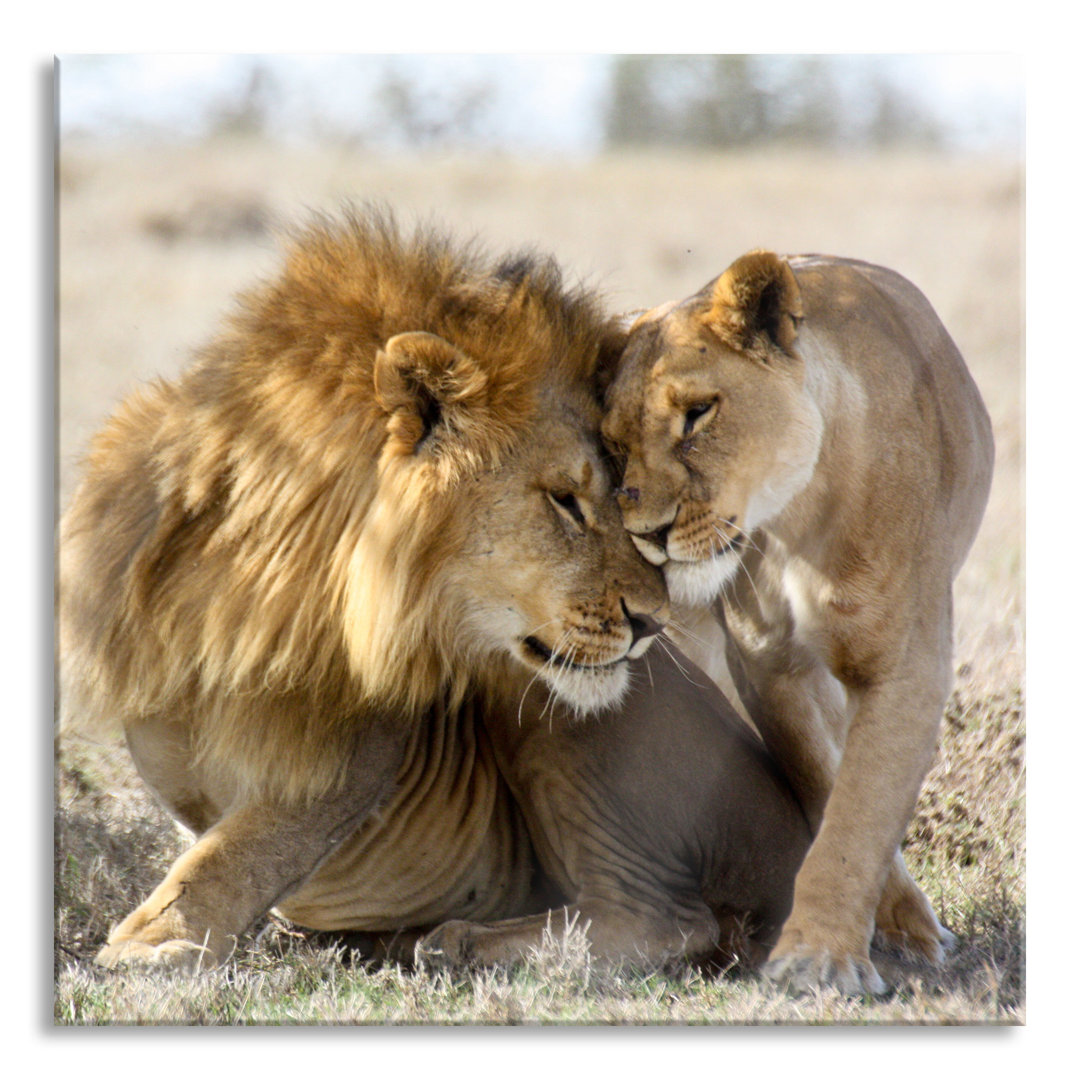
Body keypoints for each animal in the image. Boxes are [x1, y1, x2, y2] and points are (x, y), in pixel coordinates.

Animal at [54, 210, 807, 972]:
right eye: (566, 500)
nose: (655, 622)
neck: (260, 582)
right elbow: (216, 834)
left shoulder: (358, 754)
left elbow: (241, 851)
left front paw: (153, 943)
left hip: (560, 717)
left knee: (668, 918)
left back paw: (458, 940)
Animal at [604, 252, 989, 993]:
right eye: (612, 445)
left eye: (698, 414)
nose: (646, 535)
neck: (796, 518)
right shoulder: (765, 663)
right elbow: (826, 783)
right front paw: (851, 939)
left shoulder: (904, 665)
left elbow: (860, 810)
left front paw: (821, 960)